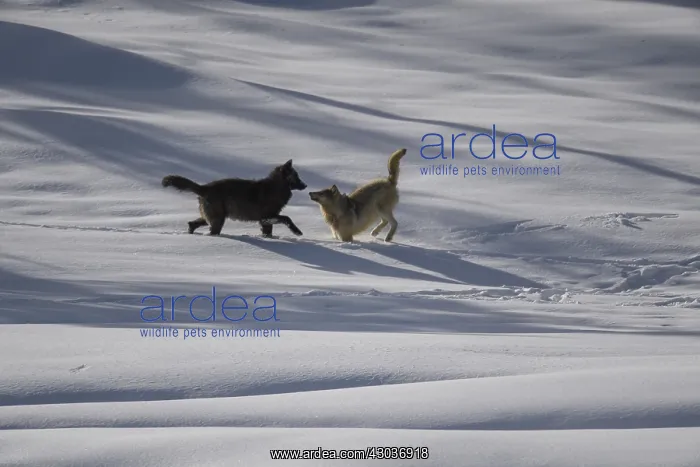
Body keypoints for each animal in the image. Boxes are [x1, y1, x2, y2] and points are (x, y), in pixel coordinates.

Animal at [161, 159, 307, 237]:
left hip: (210, 218)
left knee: (192, 223)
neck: (276, 187)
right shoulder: (267, 217)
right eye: (297, 176)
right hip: (218, 220)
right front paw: (297, 231)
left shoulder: (265, 221)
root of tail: (204, 187)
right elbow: (287, 218)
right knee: (211, 231)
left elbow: (268, 232)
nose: (305, 185)